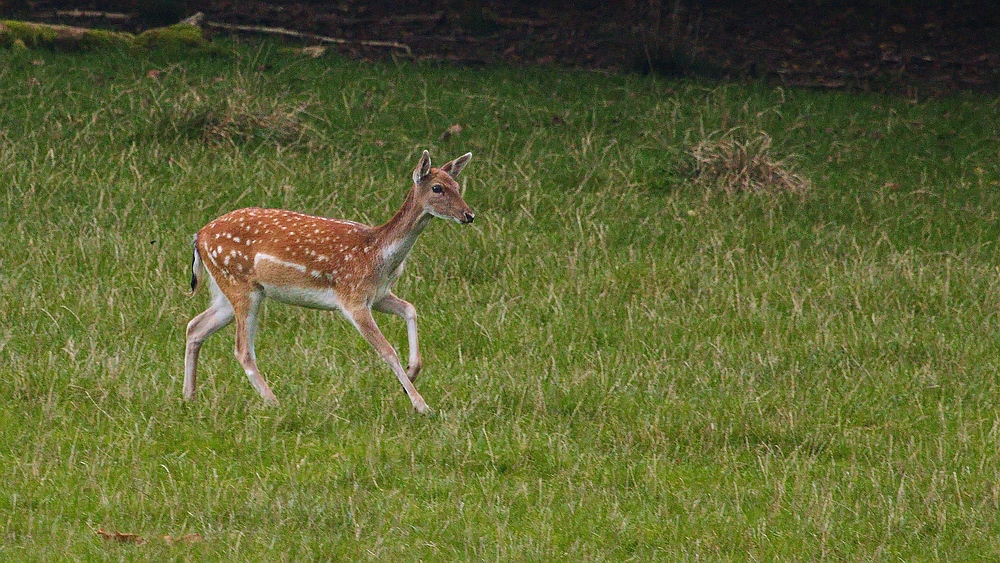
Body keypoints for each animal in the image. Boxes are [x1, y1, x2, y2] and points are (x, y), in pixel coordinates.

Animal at [185, 150, 476, 414]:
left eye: (457, 186)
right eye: (437, 188)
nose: (469, 215)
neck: (378, 255)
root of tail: (199, 237)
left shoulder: (379, 294)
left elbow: (410, 309)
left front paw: (412, 372)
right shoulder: (351, 298)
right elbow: (387, 350)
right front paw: (421, 404)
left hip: (226, 289)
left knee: (195, 326)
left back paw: (189, 397)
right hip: (240, 283)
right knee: (242, 349)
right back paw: (273, 401)